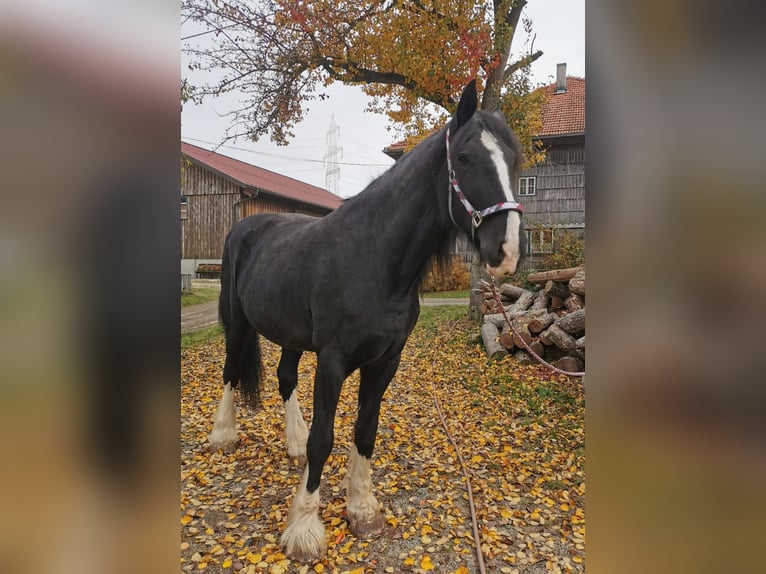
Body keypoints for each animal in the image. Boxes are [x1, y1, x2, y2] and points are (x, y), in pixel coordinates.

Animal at [207, 79, 526, 562]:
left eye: (513, 158)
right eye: (466, 157)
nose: (505, 251)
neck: (374, 259)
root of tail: (246, 227)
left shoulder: (385, 361)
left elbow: (365, 430)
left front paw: (362, 509)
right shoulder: (333, 360)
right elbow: (325, 438)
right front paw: (304, 528)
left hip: (292, 335)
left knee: (284, 377)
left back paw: (292, 444)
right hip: (240, 323)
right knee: (230, 371)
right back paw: (223, 435)